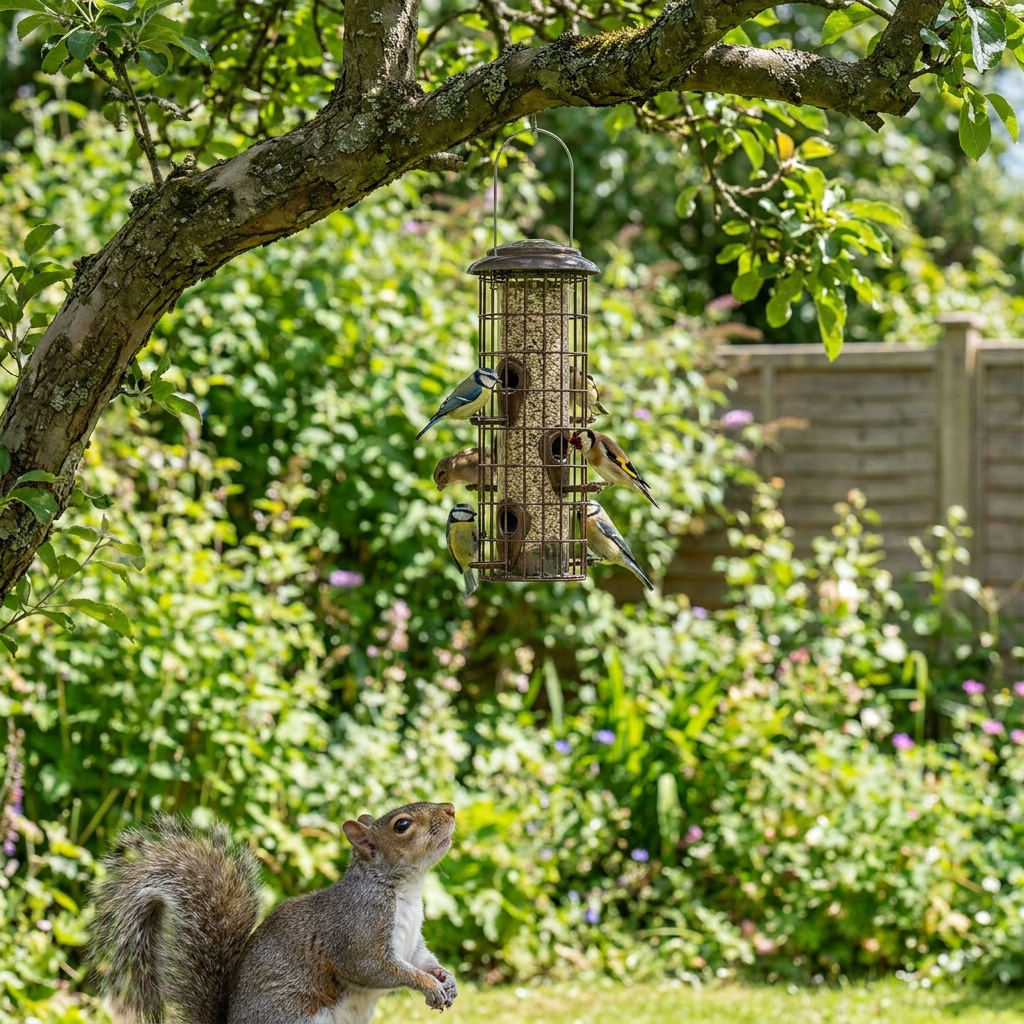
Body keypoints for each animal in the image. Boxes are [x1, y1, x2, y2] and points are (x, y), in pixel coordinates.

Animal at [89, 802, 459, 1024]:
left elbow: (422, 958)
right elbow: (376, 968)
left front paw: (446, 978)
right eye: (402, 825)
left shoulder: (412, 944)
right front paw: (427, 984)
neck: (405, 891)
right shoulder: (357, 934)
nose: (451, 808)